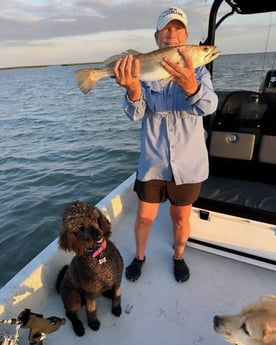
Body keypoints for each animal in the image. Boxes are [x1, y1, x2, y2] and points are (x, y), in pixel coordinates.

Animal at [55, 200, 123, 334]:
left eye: (94, 217)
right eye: (80, 227)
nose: (99, 235)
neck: (99, 255)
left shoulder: (117, 279)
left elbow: (117, 296)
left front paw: (116, 308)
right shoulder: (89, 290)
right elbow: (91, 308)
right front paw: (93, 323)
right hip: (73, 297)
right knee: (69, 312)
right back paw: (78, 326)